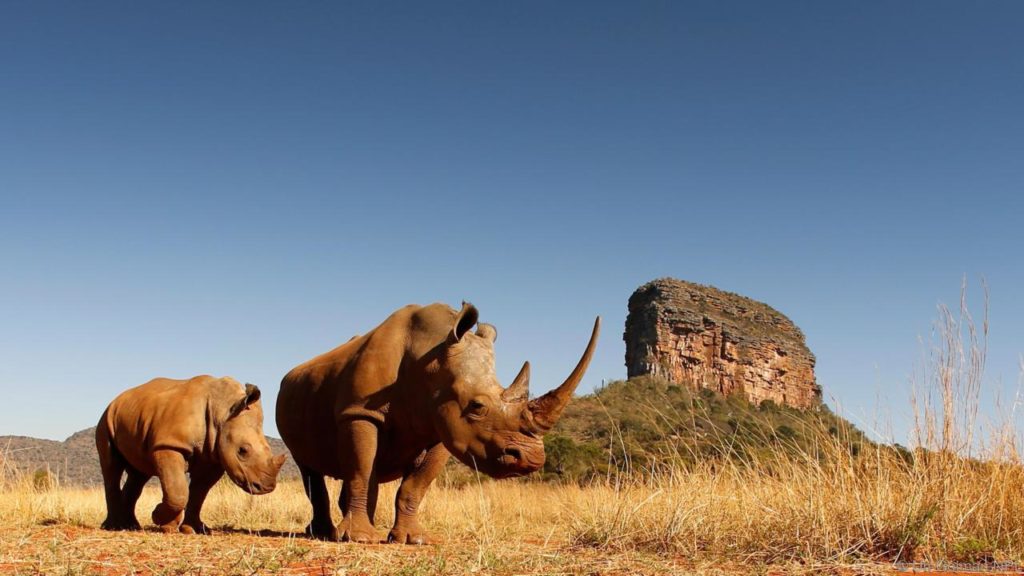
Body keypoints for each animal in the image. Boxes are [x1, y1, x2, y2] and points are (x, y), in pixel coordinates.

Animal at [96, 375, 287, 534]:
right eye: (243, 451)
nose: (266, 487)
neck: (223, 410)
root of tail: (116, 400)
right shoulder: (169, 445)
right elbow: (178, 491)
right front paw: (161, 520)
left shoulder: (212, 456)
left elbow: (198, 494)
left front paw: (195, 529)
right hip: (106, 419)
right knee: (111, 468)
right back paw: (113, 527)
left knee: (138, 474)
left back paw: (131, 526)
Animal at [276, 302, 599, 544]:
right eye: (477, 407)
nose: (531, 459)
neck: (430, 357)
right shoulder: (359, 412)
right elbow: (361, 469)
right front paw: (359, 538)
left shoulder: (444, 425)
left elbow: (416, 484)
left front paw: (414, 539)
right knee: (310, 466)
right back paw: (327, 534)